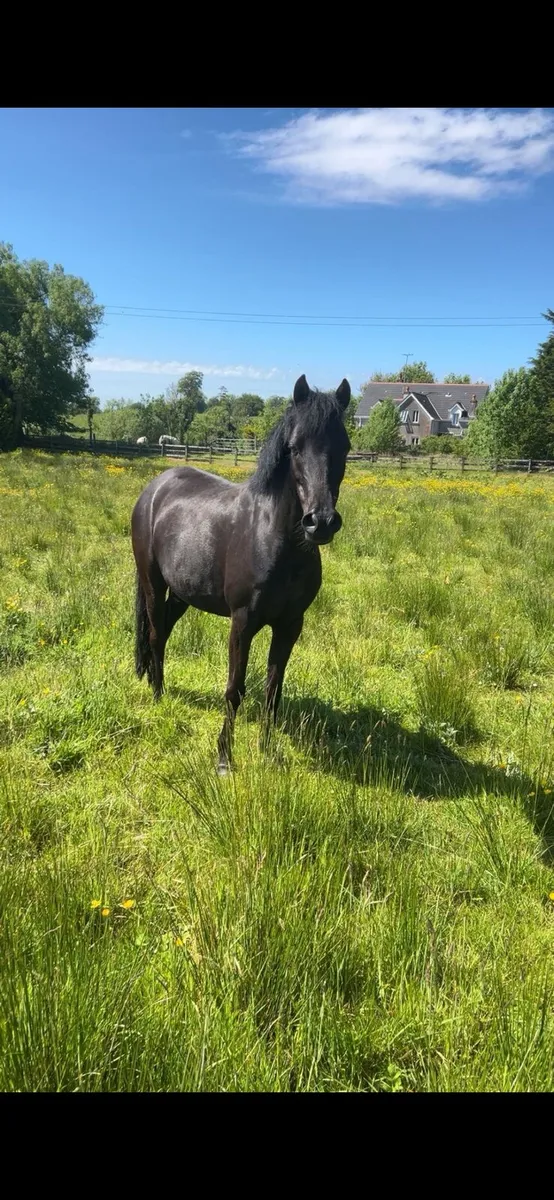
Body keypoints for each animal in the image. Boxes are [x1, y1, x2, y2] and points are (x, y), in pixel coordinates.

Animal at [131, 374, 351, 774]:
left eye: (344, 446)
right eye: (295, 448)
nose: (321, 522)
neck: (274, 539)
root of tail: (155, 488)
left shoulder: (290, 625)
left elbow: (273, 690)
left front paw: (267, 750)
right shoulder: (242, 623)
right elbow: (235, 690)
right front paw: (224, 759)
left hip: (182, 594)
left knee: (164, 632)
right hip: (152, 582)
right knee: (154, 634)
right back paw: (157, 696)